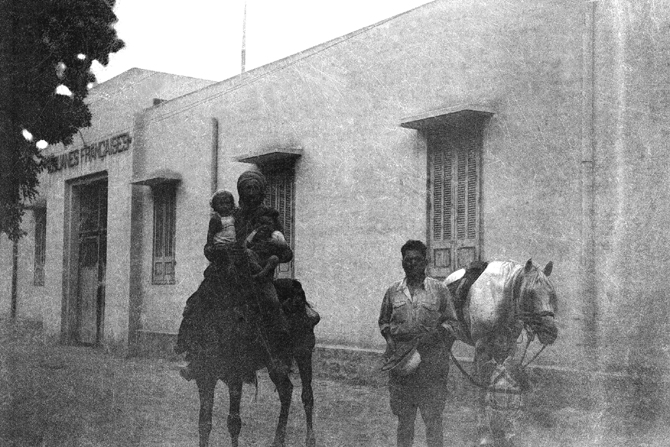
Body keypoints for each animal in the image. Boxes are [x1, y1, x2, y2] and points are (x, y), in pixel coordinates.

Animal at [185, 276, 318, 447]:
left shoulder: (235, 378)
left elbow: (234, 422)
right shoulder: (204, 378)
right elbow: (204, 423)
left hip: (303, 353)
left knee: (307, 394)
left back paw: (310, 439)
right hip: (274, 363)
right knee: (286, 390)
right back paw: (278, 440)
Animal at [446, 260, 560, 446]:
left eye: (551, 293)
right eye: (530, 294)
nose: (550, 332)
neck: (498, 299)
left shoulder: (508, 348)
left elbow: (506, 383)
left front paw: (507, 430)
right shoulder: (483, 349)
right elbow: (483, 388)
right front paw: (485, 433)